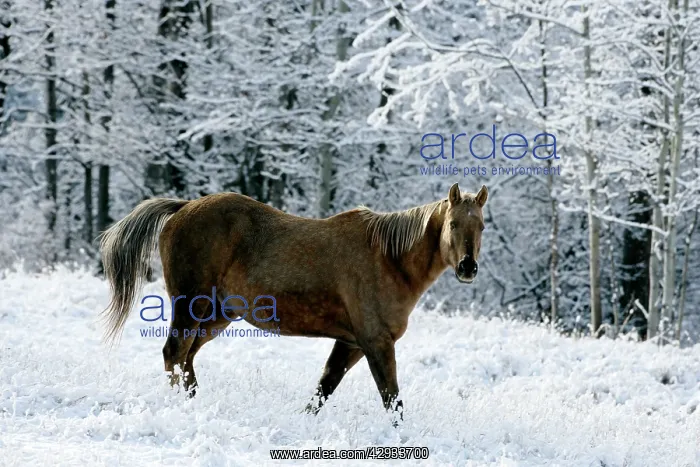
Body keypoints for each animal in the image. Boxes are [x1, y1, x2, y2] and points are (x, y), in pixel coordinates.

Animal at [100, 182, 488, 421]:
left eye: (482, 226)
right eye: (453, 224)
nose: (468, 267)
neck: (388, 259)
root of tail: (183, 207)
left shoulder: (351, 343)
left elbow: (323, 389)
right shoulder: (377, 342)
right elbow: (392, 400)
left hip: (216, 314)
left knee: (187, 357)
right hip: (192, 305)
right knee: (175, 353)